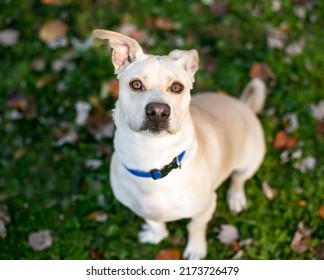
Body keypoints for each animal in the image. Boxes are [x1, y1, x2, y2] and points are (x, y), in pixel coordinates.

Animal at [93, 29, 266, 260]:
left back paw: (236, 197)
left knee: (239, 179)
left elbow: (195, 227)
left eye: (177, 87)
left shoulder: (205, 208)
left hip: (249, 160)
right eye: (136, 84)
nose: (158, 111)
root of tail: (244, 105)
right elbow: (154, 222)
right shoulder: (141, 209)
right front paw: (156, 235)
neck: (151, 157)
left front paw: (196, 249)